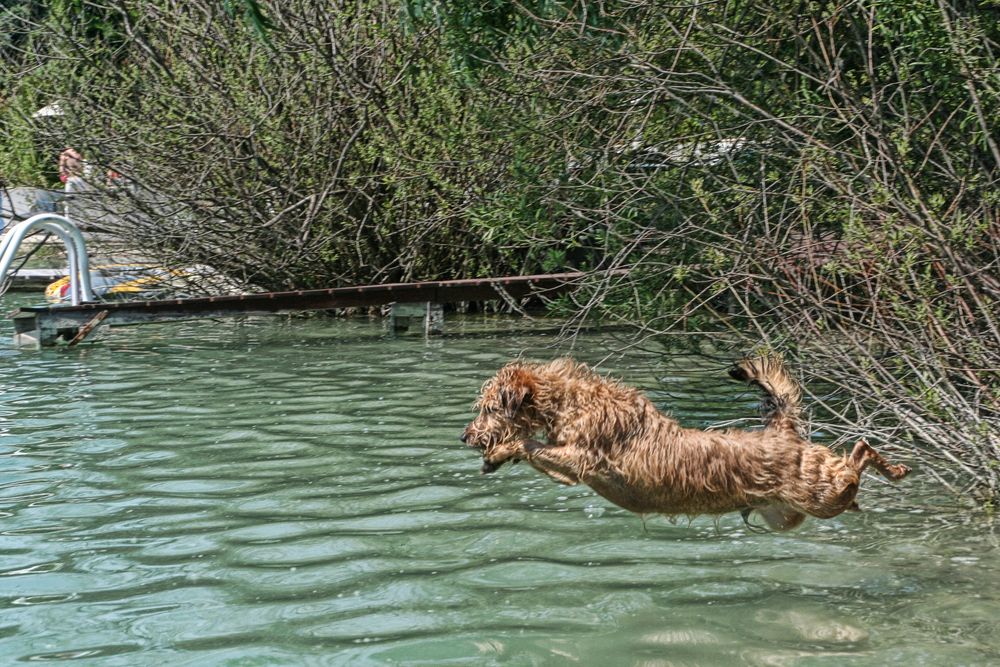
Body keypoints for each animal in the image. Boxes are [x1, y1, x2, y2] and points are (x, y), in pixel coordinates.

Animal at [464, 358, 912, 528]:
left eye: (487, 408)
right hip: (787, 515)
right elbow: (533, 449)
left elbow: (528, 444)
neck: (570, 400)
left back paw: (893, 468)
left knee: (858, 456)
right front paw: (496, 457)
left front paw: (500, 450)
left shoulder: (580, 461)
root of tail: (781, 431)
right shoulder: (569, 471)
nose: (464, 435)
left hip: (821, 493)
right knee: (853, 470)